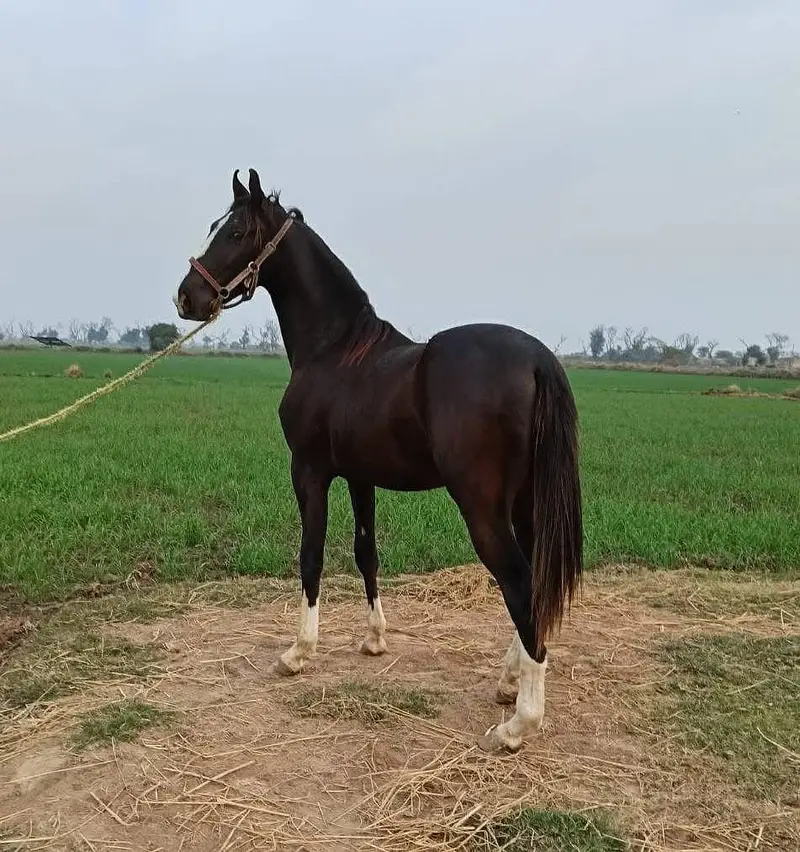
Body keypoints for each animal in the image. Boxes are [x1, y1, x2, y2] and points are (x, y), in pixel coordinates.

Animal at [174, 168, 583, 753]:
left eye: (234, 233)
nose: (187, 297)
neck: (337, 350)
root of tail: (537, 357)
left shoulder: (310, 473)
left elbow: (311, 556)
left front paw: (297, 653)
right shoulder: (360, 478)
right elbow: (366, 553)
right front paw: (374, 640)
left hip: (483, 507)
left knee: (519, 583)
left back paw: (518, 723)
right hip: (525, 505)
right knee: (532, 584)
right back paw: (509, 682)